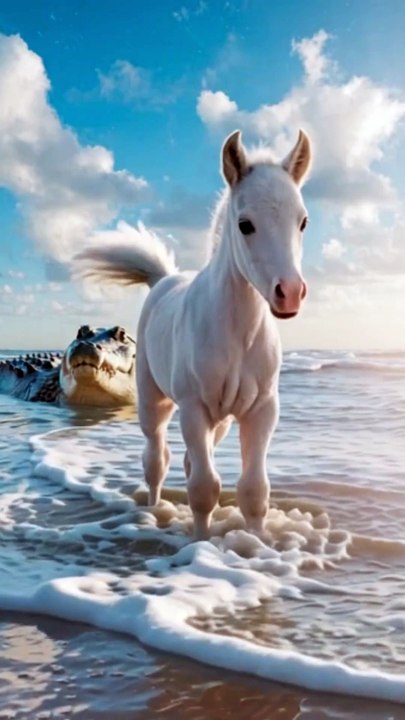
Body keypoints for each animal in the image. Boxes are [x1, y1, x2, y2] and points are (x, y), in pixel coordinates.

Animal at [78, 129, 312, 540]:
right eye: (245, 224)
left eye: (302, 222)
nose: (290, 293)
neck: (237, 335)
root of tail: (164, 279)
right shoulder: (193, 408)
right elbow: (204, 488)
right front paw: (200, 540)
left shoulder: (262, 410)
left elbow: (253, 490)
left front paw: (255, 541)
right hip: (154, 404)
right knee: (157, 460)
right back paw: (153, 509)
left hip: (221, 421)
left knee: (190, 461)